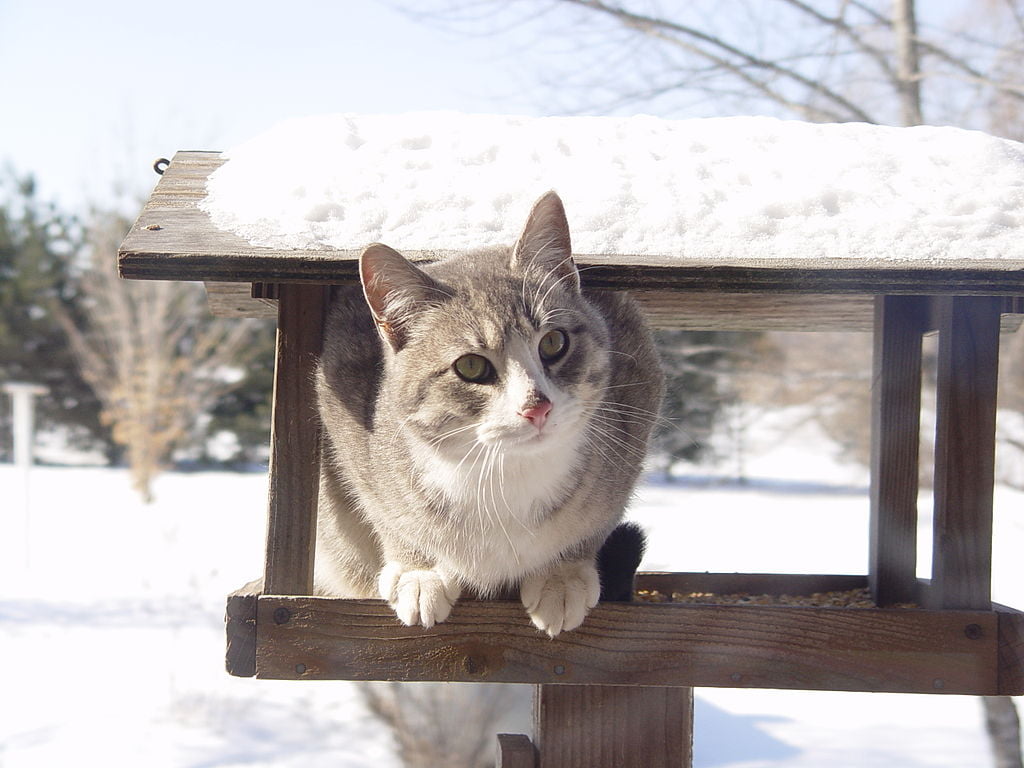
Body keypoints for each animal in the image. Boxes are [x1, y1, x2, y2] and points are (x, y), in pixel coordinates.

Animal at [313, 191, 663, 638]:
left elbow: (595, 522)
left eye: (554, 342)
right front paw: (420, 572)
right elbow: (386, 512)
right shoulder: (343, 405)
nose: (537, 406)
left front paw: (561, 576)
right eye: (471, 366)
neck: (501, 474)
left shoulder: (638, 397)